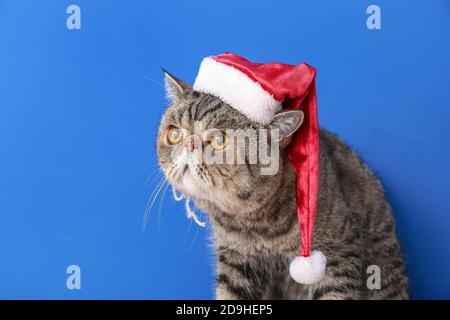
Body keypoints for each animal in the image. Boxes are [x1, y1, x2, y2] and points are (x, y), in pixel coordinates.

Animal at [156, 64, 410, 300]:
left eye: (220, 140)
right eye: (175, 134)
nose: (189, 143)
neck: (256, 226)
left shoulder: (338, 258)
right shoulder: (235, 261)